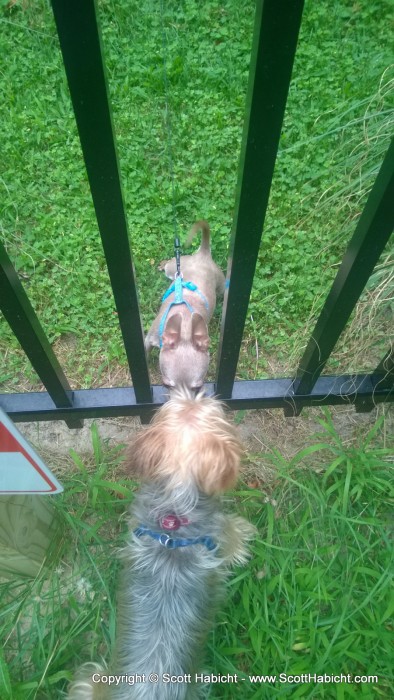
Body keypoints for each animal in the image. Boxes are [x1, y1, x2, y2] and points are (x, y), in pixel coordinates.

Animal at [68, 388, 254, 700]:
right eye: (215, 410)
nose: (197, 391)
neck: (175, 512)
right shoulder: (224, 534)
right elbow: (238, 537)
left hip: (91, 682)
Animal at [145, 221, 225, 392]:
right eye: (166, 385)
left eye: (198, 387)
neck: (185, 327)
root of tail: (203, 255)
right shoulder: (150, 338)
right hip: (175, 268)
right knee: (169, 264)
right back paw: (162, 264)